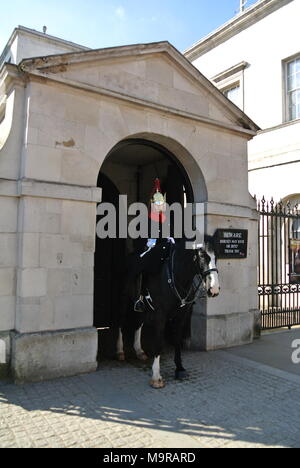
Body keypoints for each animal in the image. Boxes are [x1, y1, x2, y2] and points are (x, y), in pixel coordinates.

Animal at [116, 238, 219, 388]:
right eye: (201, 256)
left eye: (216, 256)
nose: (214, 289)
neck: (176, 276)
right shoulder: (160, 316)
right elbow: (159, 342)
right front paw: (156, 376)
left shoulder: (181, 316)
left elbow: (177, 340)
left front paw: (179, 368)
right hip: (123, 299)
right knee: (120, 321)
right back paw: (120, 351)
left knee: (139, 323)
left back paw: (139, 350)